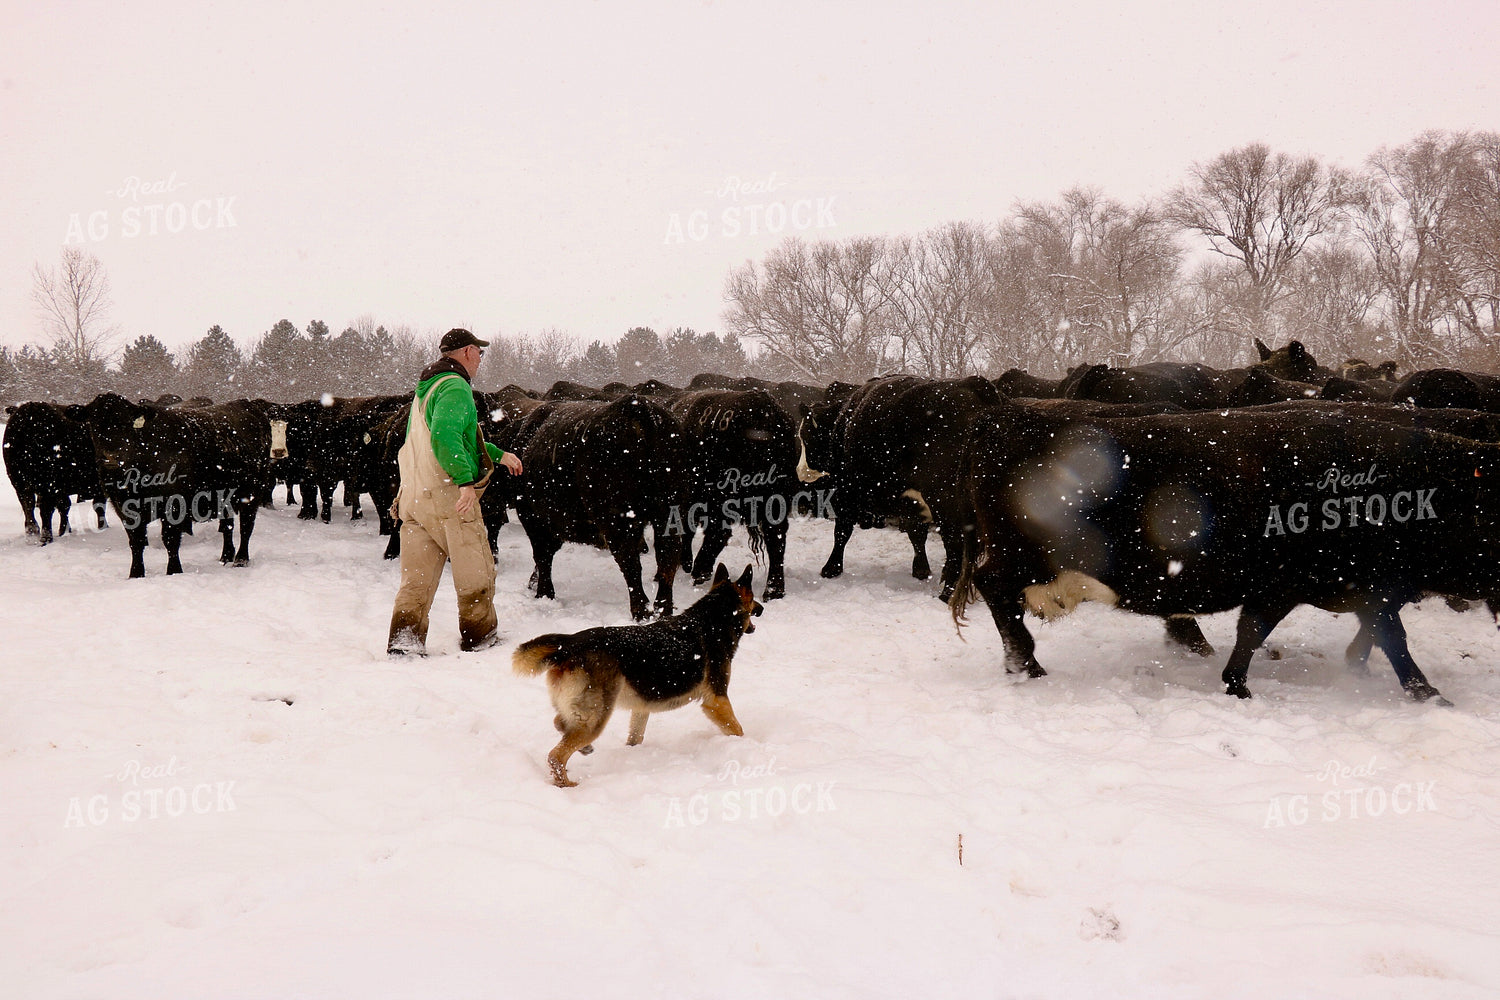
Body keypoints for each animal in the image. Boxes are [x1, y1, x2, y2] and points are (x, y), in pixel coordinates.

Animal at [64, 393, 288, 577]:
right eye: (94, 424)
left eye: (127, 424)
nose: (111, 457)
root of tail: (247, 405)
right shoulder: (125, 508)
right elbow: (136, 542)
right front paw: (136, 573)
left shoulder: (173, 505)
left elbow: (170, 539)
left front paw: (174, 570)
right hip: (225, 495)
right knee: (228, 525)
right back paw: (226, 555)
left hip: (251, 492)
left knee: (246, 526)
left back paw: (241, 559)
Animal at [508, 395, 681, 620]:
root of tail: (635, 407)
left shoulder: (531, 516)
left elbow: (543, 555)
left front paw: (544, 593)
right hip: (668, 513)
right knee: (666, 557)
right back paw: (663, 609)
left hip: (616, 520)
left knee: (631, 563)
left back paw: (641, 611)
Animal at [950, 403, 1496, 704]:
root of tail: (1005, 417)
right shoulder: (1303, 584)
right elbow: (1390, 637)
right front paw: (1429, 695)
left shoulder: (1346, 586)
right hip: (1016, 558)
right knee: (997, 593)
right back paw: (1026, 666)